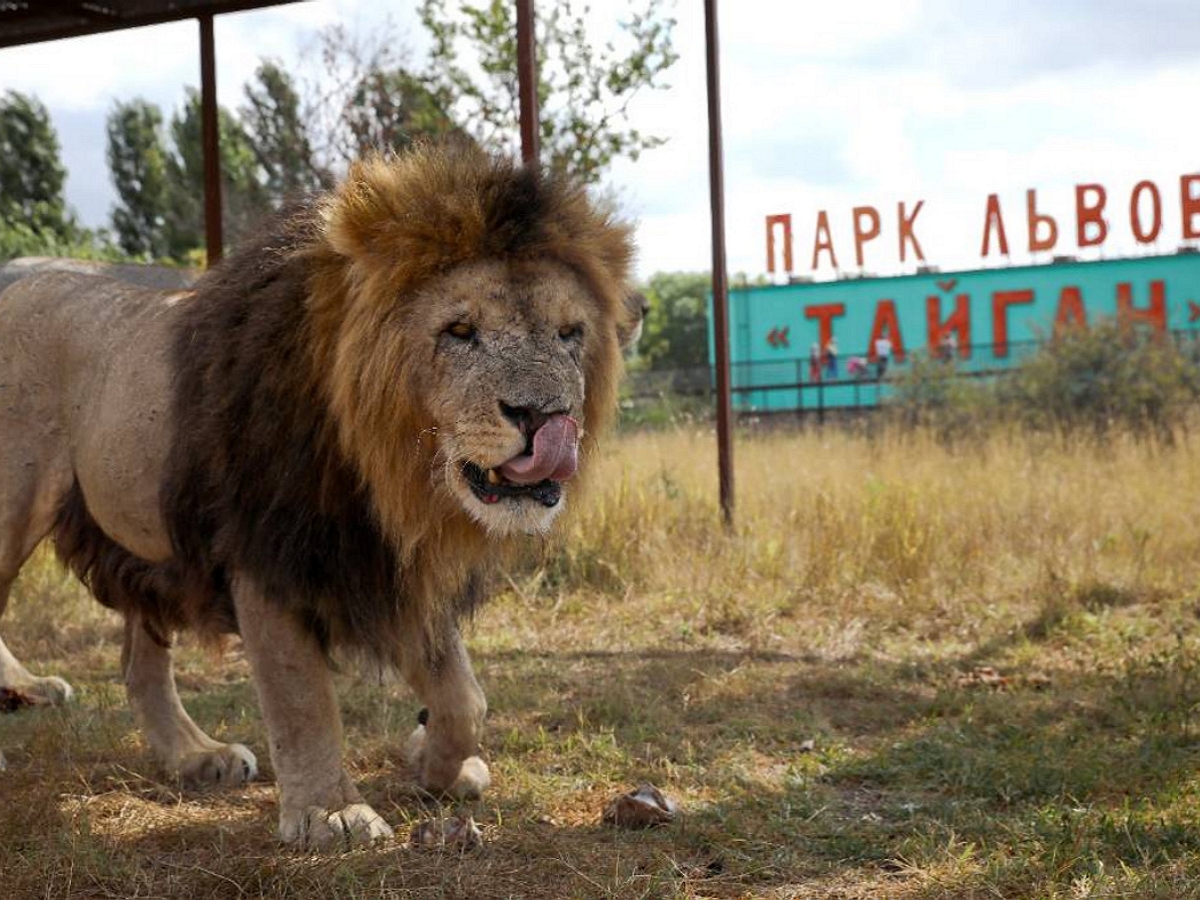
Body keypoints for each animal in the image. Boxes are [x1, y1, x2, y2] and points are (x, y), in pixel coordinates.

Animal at [0, 144, 643, 849]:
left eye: (569, 333)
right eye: (459, 330)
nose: (543, 416)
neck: (390, 469)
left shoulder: (394, 561)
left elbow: (464, 696)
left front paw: (436, 763)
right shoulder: (268, 547)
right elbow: (301, 696)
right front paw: (329, 813)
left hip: (149, 544)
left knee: (139, 664)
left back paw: (196, 757)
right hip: (15, 505)